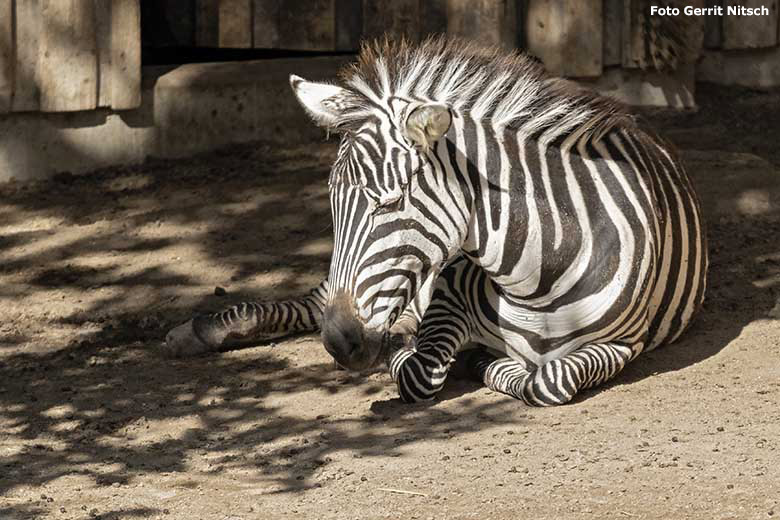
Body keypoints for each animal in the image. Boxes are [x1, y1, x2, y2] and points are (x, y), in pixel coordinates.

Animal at [165, 38, 708, 408]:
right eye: (333, 205)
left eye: (389, 203)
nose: (339, 344)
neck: (538, 275)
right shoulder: (445, 298)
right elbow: (419, 371)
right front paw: (436, 355)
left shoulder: (624, 343)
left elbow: (548, 382)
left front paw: (486, 362)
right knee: (311, 303)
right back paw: (206, 329)